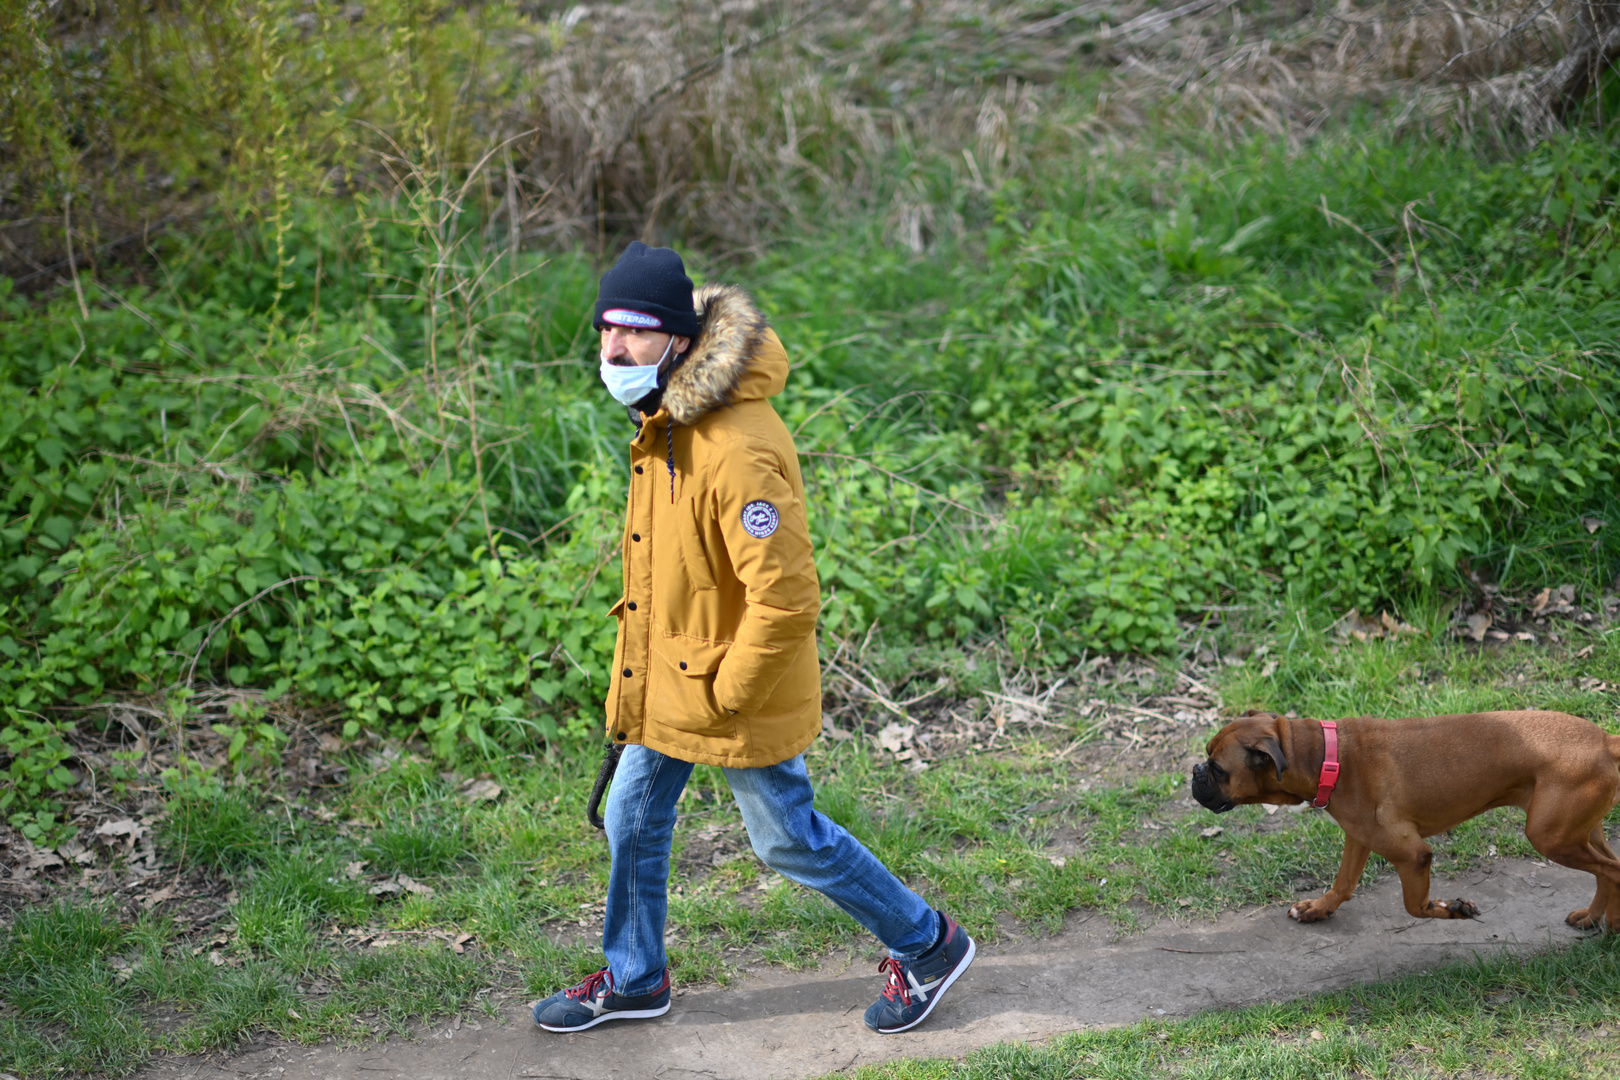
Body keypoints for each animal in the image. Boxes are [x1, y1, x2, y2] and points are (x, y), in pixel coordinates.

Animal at [1192, 709, 1620, 932]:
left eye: (1218, 768)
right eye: (1206, 758)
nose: (1194, 772)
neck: (1326, 755)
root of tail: (1605, 740)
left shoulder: (1414, 856)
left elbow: (1417, 907)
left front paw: (1455, 908)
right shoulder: (1359, 839)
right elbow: (1343, 884)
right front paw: (1318, 909)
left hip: (1551, 837)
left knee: (1612, 871)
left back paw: (1611, 926)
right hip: (1579, 833)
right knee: (1607, 868)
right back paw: (1593, 918)